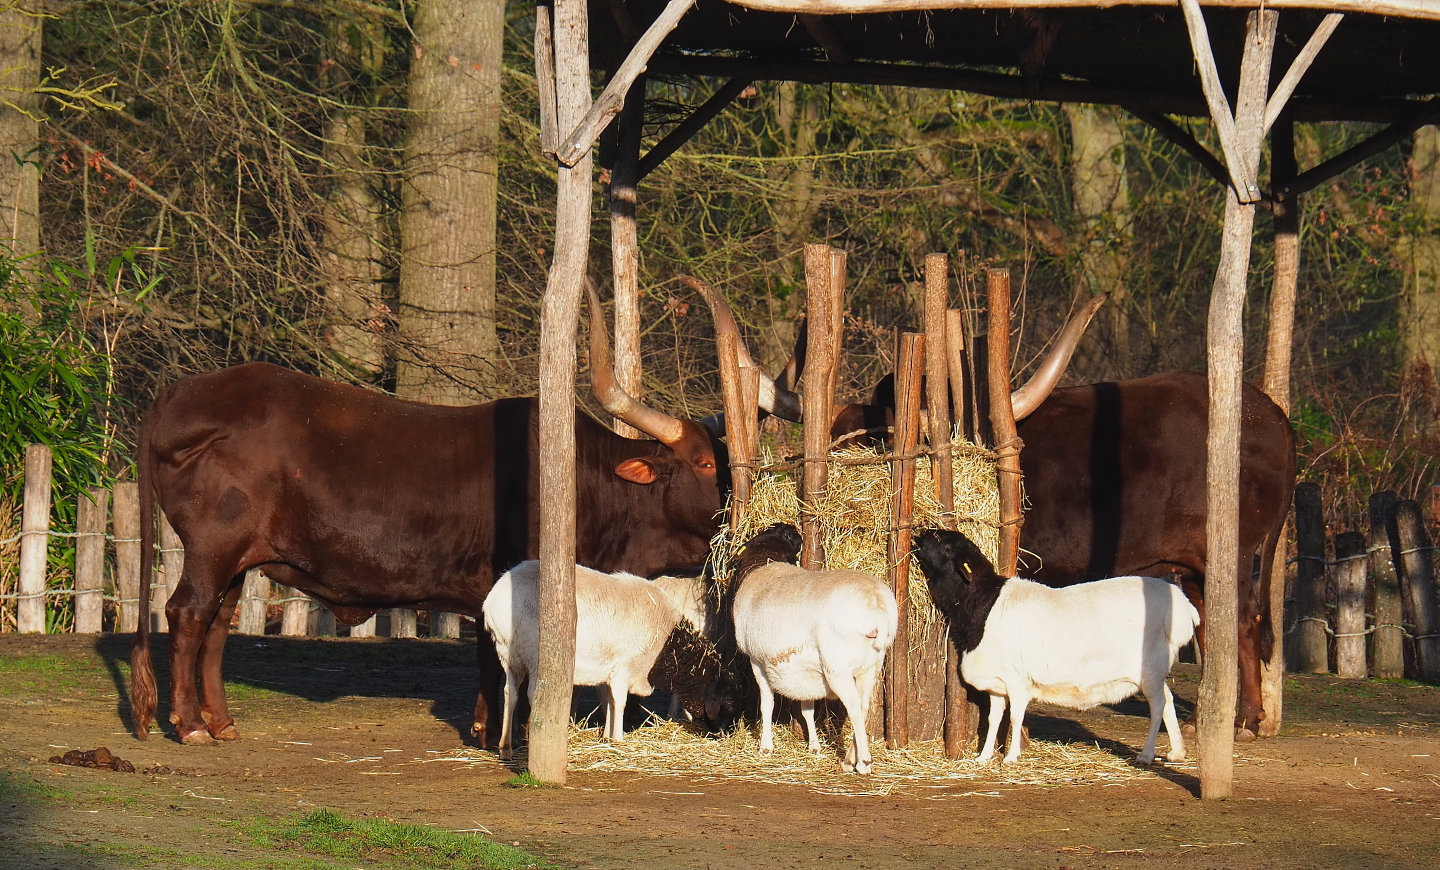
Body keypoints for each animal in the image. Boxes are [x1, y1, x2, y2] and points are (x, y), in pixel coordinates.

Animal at [482, 560, 681, 760]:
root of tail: (492, 600)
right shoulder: (623, 667)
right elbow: (619, 702)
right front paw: (618, 740)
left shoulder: (609, 671)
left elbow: (609, 701)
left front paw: (607, 737)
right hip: (534, 652)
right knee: (533, 693)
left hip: (508, 653)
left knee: (510, 693)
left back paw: (505, 748)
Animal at [727, 524, 898, 774]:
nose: (791, 527)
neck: (764, 561)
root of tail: (876, 605)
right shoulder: (805, 672)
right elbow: (807, 708)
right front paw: (814, 746)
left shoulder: (757, 661)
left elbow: (767, 704)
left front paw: (766, 747)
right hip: (872, 665)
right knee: (864, 707)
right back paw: (850, 759)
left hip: (837, 667)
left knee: (855, 709)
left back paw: (863, 762)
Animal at [914, 528, 1199, 766]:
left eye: (945, 545)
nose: (919, 534)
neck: (982, 605)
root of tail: (1185, 607)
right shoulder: (997, 683)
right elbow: (994, 719)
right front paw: (983, 757)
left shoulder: (1017, 679)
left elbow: (1015, 716)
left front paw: (1011, 757)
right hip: (1154, 670)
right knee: (1168, 699)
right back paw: (1177, 751)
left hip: (1150, 666)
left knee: (1158, 704)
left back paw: (1147, 755)